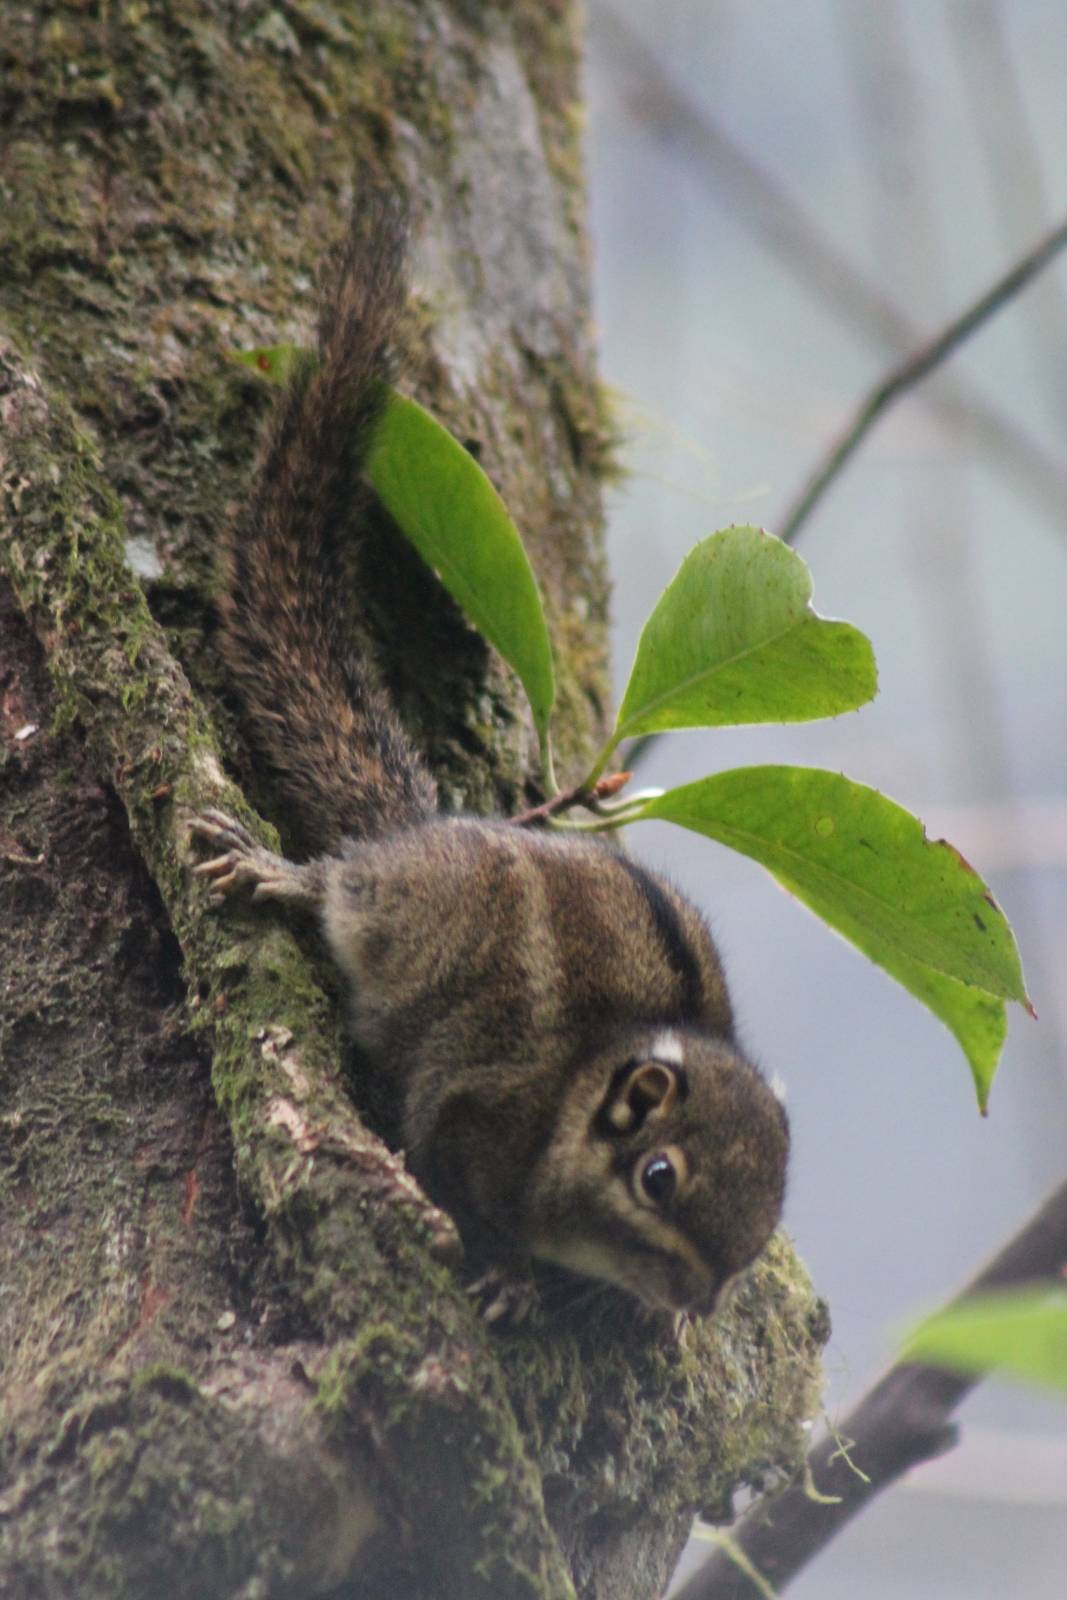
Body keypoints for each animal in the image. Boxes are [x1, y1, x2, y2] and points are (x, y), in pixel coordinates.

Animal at [190, 194, 789, 1317]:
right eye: (658, 1177)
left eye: (767, 1212)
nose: (697, 1304)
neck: (578, 1086)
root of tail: (429, 829)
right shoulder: (477, 1101)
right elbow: (447, 1169)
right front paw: (511, 1267)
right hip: (391, 905)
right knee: (343, 881)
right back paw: (283, 873)